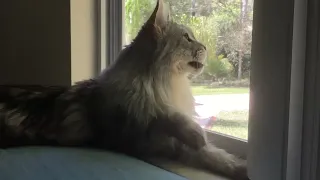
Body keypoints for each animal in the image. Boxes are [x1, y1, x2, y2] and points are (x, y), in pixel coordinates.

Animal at [0, 0, 249, 179]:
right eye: (187, 38)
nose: (205, 46)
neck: (156, 84)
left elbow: (213, 153)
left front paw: (238, 165)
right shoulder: (149, 135)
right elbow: (183, 130)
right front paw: (201, 138)